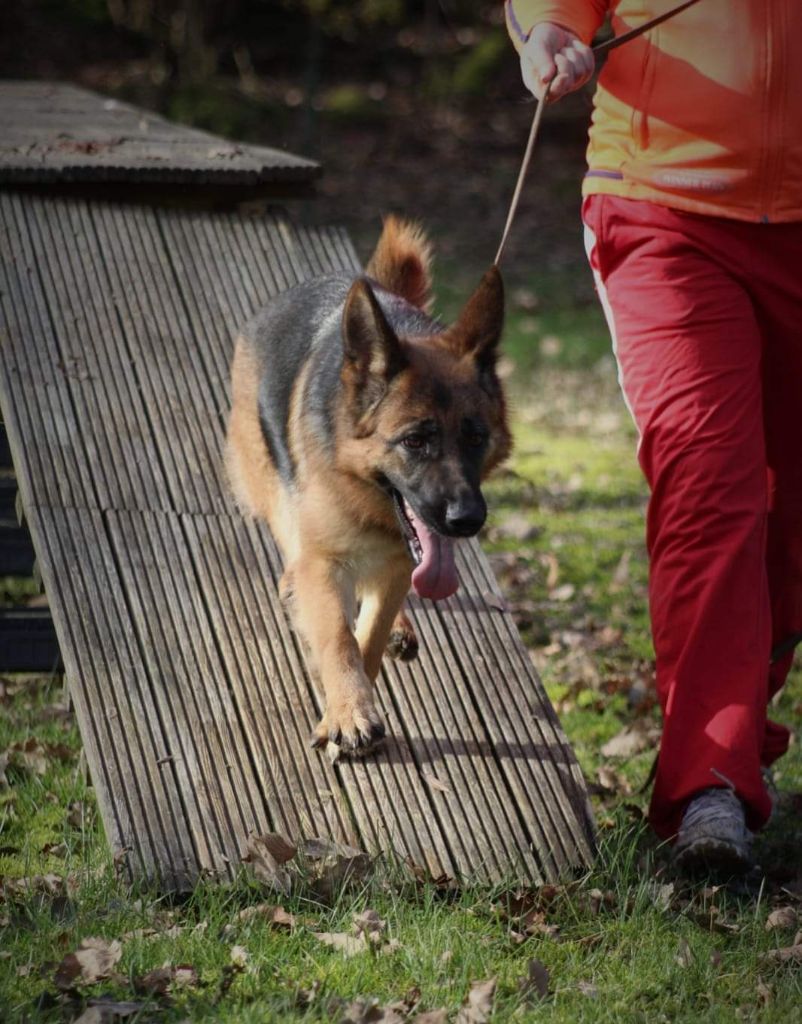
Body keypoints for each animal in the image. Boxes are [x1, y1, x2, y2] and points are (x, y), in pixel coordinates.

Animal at [225, 216, 512, 757]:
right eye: (415, 440)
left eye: (475, 437)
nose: (467, 520)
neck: (363, 496)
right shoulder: (324, 558)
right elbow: (337, 637)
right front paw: (348, 711)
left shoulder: (400, 559)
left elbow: (369, 635)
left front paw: (353, 691)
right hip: (272, 482)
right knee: (292, 541)